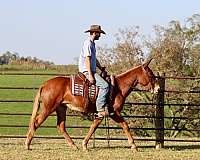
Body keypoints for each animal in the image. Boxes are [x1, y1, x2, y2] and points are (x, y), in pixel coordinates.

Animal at [25, 59, 159, 151]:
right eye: (151, 74)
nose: (157, 88)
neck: (118, 87)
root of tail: (45, 84)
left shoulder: (102, 114)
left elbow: (94, 127)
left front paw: (84, 144)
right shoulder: (114, 113)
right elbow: (125, 125)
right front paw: (134, 146)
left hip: (61, 108)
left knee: (61, 126)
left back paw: (73, 145)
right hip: (48, 108)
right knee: (36, 122)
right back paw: (27, 144)